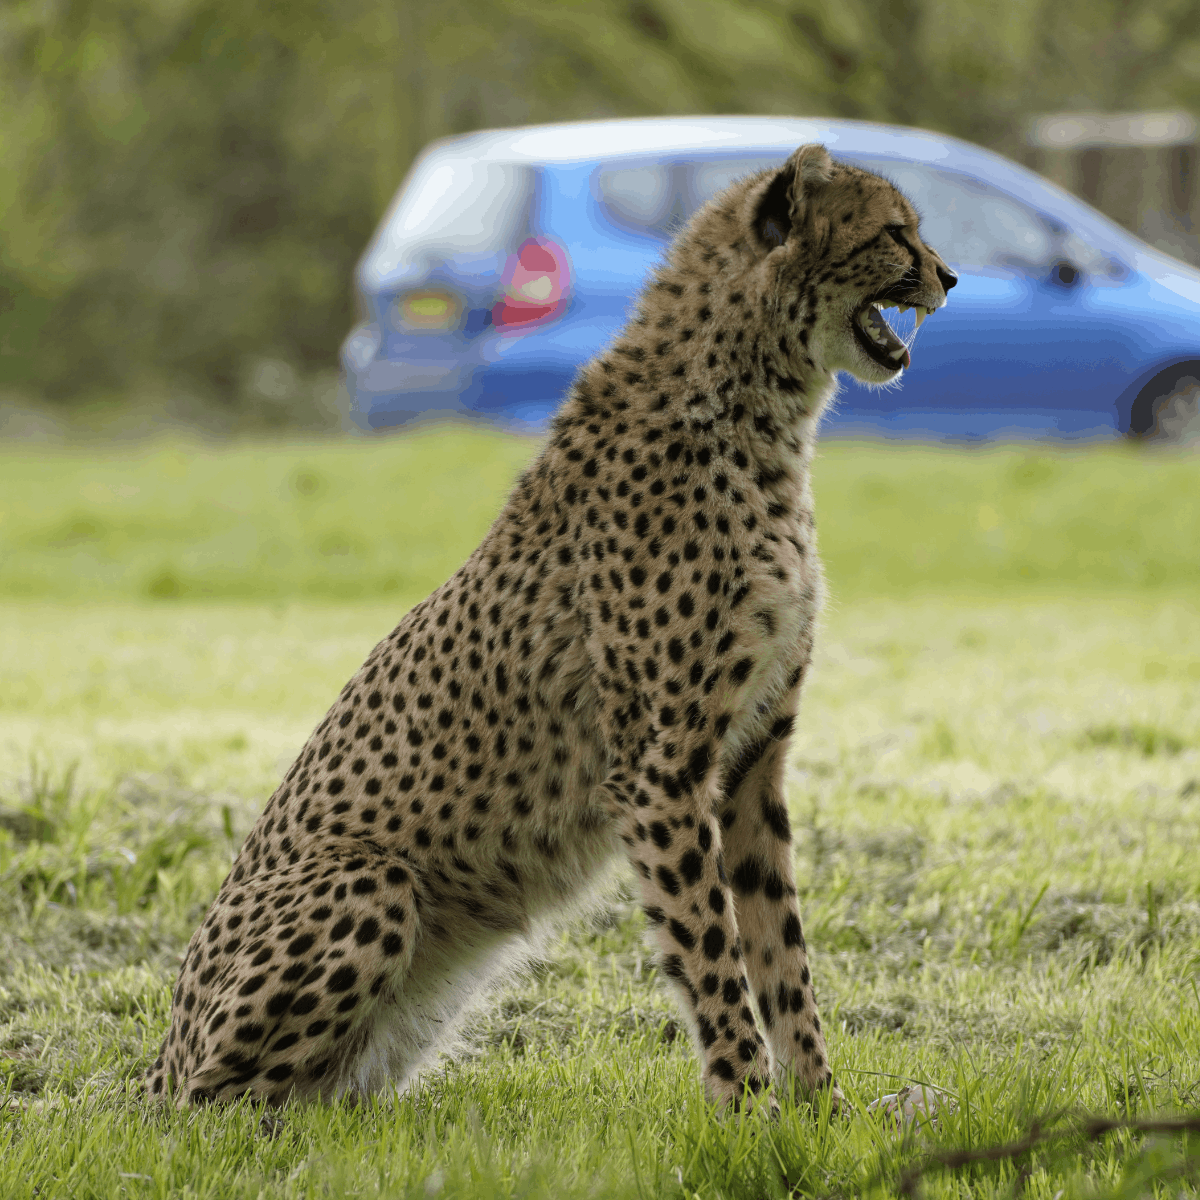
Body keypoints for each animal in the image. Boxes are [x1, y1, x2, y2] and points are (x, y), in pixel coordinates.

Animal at [144, 143, 956, 1113]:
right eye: (893, 232)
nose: (949, 276)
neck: (756, 405)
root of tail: (151, 1065)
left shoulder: (752, 765)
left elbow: (781, 956)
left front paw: (822, 1110)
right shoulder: (660, 771)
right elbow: (712, 955)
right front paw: (748, 1110)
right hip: (371, 882)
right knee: (219, 1109)